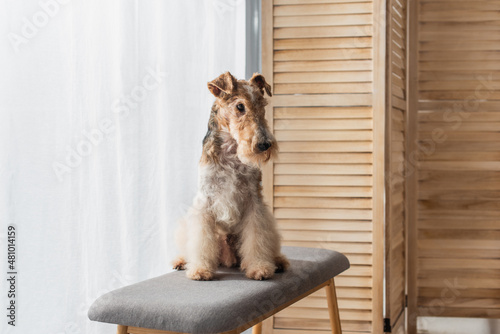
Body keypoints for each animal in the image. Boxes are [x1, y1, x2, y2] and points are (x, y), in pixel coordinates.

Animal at [173, 72, 288, 280]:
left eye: (262, 104)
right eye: (240, 106)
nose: (264, 144)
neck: (231, 151)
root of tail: (228, 259)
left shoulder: (254, 201)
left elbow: (257, 237)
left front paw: (259, 267)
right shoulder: (205, 201)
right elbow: (200, 240)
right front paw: (200, 269)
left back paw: (279, 261)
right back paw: (181, 261)